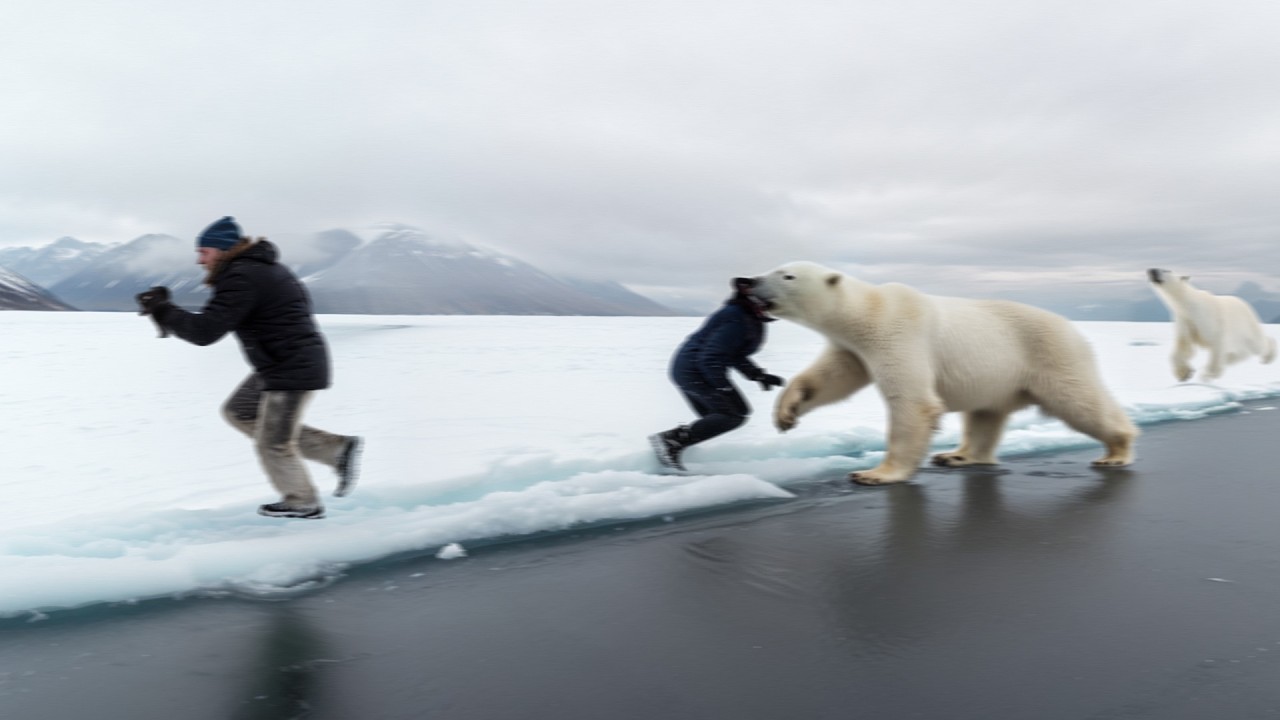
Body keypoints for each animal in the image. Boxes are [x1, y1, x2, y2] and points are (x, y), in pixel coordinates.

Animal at [739, 261, 1138, 485]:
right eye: (773, 268)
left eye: (787, 275)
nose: (746, 281)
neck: (868, 312)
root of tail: (1075, 329)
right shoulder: (853, 347)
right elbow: (831, 379)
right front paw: (786, 413)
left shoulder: (898, 334)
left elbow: (912, 401)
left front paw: (874, 474)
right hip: (999, 377)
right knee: (984, 415)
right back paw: (957, 455)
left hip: (1051, 354)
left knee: (1079, 401)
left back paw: (1116, 450)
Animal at [1146, 268, 1276, 383]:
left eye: (1165, 270)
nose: (1152, 270)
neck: (1190, 306)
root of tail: (1247, 305)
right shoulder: (1184, 319)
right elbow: (1184, 346)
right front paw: (1184, 373)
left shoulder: (1208, 320)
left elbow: (1216, 346)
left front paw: (1206, 375)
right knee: (1238, 353)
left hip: (1246, 326)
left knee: (1258, 344)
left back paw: (1268, 357)